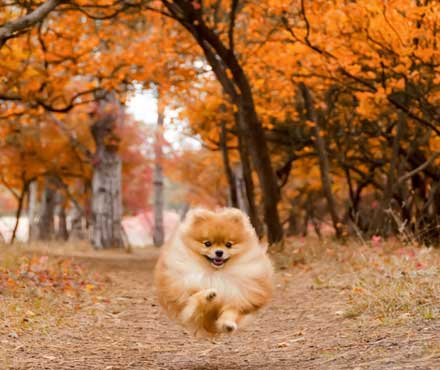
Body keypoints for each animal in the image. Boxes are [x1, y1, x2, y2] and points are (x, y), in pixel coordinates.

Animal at [153, 207, 274, 336]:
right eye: (207, 243)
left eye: (229, 244)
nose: (219, 252)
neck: (216, 273)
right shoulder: (183, 301)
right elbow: (193, 300)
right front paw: (208, 295)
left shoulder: (238, 297)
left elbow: (231, 312)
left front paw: (228, 324)